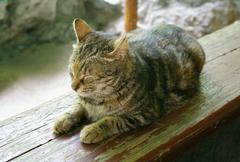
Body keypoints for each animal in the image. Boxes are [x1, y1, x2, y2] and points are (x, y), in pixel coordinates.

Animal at [53, 18, 205, 144]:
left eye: (87, 77)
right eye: (71, 71)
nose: (73, 87)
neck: (98, 99)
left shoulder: (145, 112)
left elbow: (112, 120)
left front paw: (93, 129)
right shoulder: (84, 100)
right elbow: (77, 106)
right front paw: (63, 119)